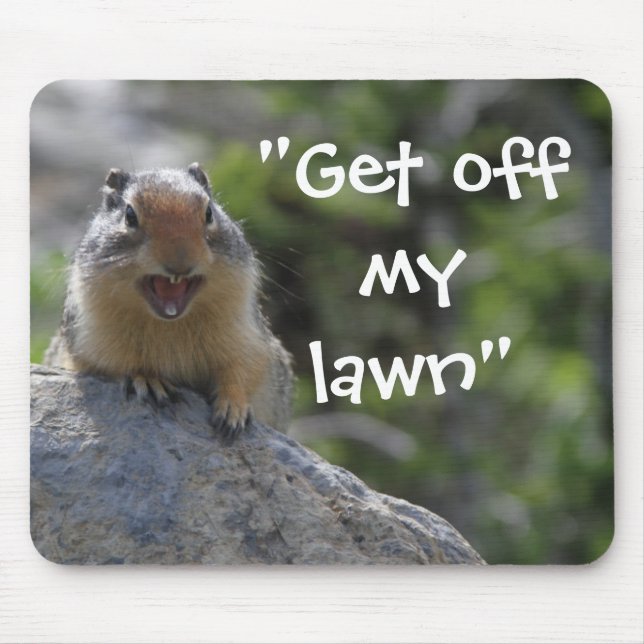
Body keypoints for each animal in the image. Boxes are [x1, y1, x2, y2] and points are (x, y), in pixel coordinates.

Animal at [44, 163, 293, 440]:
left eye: (209, 212)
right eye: (129, 215)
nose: (180, 262)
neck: (170, 324)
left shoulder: (247, 335)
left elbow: (244, 369)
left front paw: (233, 408)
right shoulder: (89, 340)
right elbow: (114, 363)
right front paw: (147, 379)